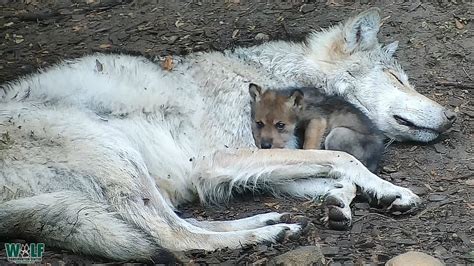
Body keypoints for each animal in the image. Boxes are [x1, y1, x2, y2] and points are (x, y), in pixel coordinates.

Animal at [248, 82, 386, 172]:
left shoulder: (318, 120)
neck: (302, 108)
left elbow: (309, 146)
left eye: (280, 125)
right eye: (259, 123)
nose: (265, 146)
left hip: (337, 134)